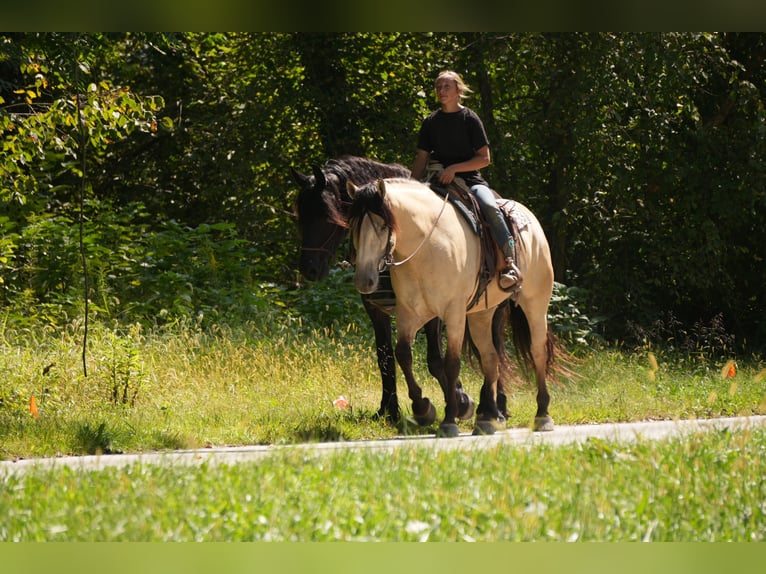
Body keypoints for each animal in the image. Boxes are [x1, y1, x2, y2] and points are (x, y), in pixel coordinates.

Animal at [290, 156, 509, 424]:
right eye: (301, 216)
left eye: (326, 215)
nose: (309, 269)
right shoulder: (377, 310)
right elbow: (385, 357)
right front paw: (389, 409)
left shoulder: (433, 311)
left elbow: (434, 360)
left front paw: (459, 401)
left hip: (495, 309)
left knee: (495, 349)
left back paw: (496, 407)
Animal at [345, 177, 555, 437]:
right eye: (353, 226)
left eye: (383, 226)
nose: (364, 281)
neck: (426, 247)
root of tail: (530, 219)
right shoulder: (410, 313)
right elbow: (403, 353)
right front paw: (423, 408)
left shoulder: (453, 313)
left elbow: (450, 363)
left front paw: (449, 420)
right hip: (482, 314)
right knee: (490, 357)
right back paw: (487, 418)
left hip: (535, 304)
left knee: (537, 351)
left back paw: (542, 415)